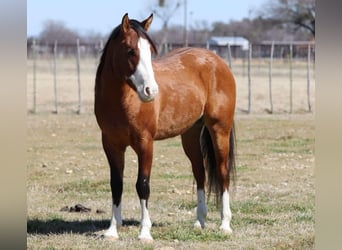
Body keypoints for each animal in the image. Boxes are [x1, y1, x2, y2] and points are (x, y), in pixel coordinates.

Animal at [95, 12, 236, 241]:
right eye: (131, 50)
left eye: (150, 51)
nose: (151, 91)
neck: (123, 101)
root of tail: (217, 61)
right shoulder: (111, 144)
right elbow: (116, 184)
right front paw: (112, 230)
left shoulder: (145, 143)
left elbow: (142, 185)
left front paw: (145, 232)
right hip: (190, 135)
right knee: (200, 172)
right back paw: (199, 222)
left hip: (219, 130)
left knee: (223, 172)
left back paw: (225, 225)